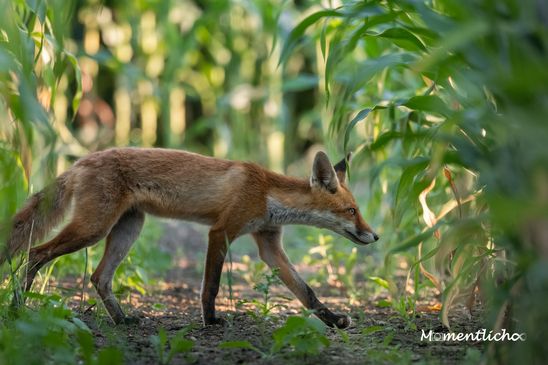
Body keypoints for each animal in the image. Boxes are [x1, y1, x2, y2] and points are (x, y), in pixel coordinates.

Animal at [0, 147, 378, 328]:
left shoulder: (269, 243)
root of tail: (80, 162)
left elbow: (307, 292)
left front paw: (334, 320)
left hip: (128, 228)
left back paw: (122, 320)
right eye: (352, 210)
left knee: (99, 276)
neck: (268, 193)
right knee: (35, 252)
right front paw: (210, 321)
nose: (374, 235)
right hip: (92, 229)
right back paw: (18, 306)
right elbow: (210, 286)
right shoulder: (222, 231)